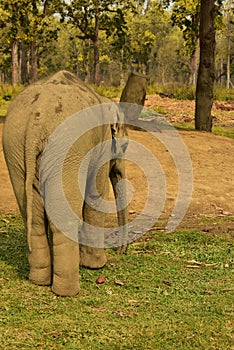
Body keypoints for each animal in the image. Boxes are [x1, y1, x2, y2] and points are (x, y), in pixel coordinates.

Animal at [2, 70, 128, 296]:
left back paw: (40, 281)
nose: (121, 251)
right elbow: (96, 194)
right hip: (67, 150)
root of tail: (36, 119)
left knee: (34, 218)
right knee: (63, 218)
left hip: (14, 147)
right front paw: (97, 265)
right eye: (125, 146)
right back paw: (68, 291)